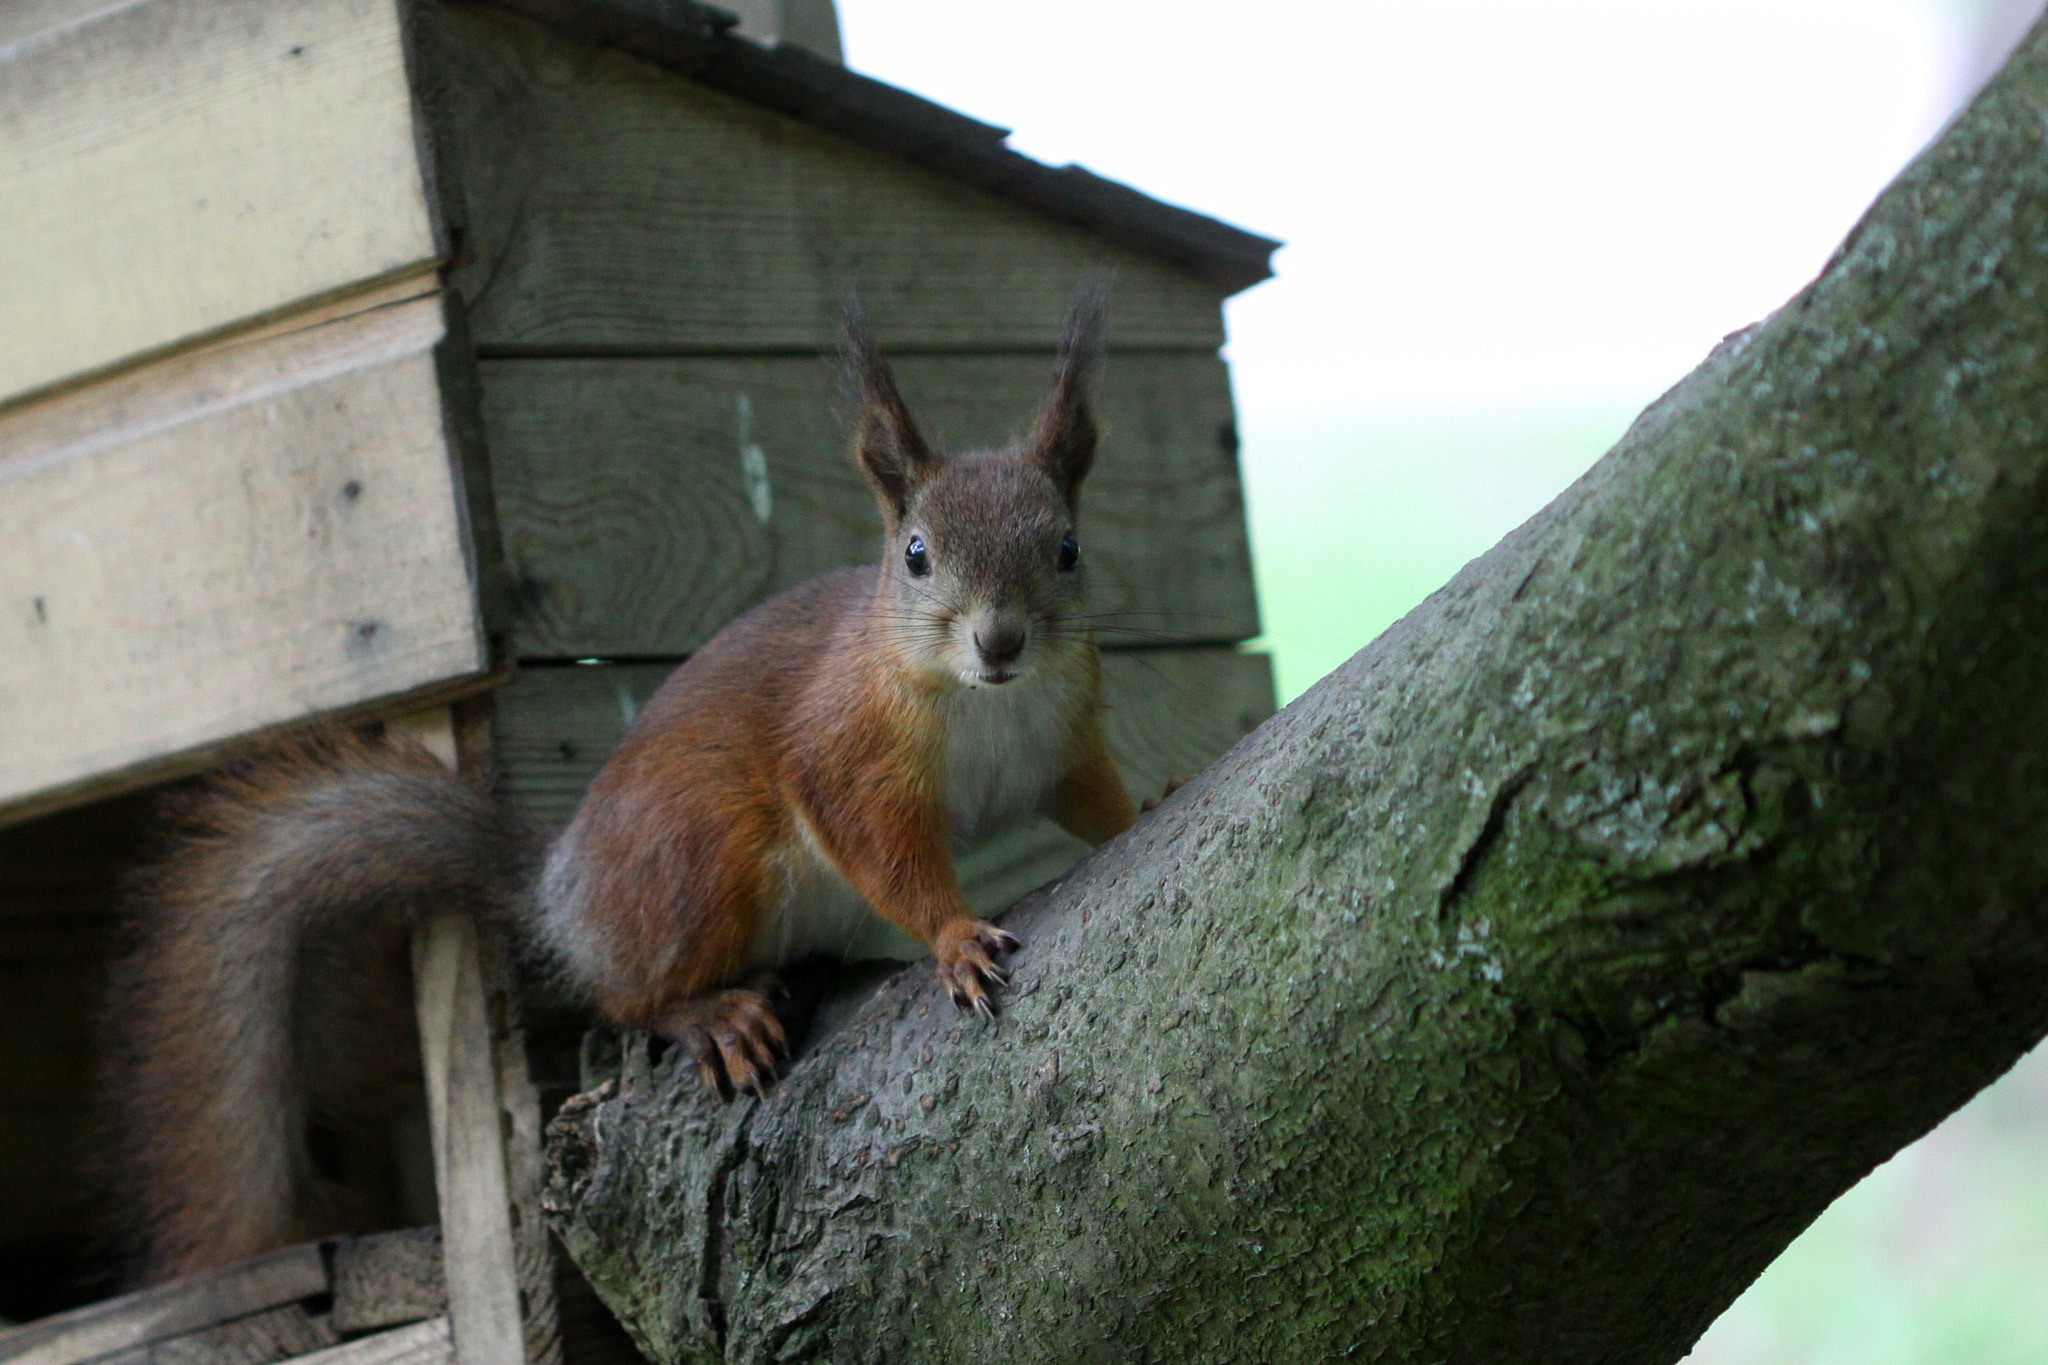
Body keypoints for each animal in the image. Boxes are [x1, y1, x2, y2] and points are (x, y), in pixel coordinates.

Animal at [103, 286, 1146, 1285]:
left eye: (1067, 548)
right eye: (917, 554)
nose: (1000, 640)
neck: (983, 703)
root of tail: (559, 896)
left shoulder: (1059, 742)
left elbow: (1094, 801)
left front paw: (1148, 804)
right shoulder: (845, 753)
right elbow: (884, 852)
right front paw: (956, 939)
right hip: (700, 860)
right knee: (625, 997)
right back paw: (711, 1014)